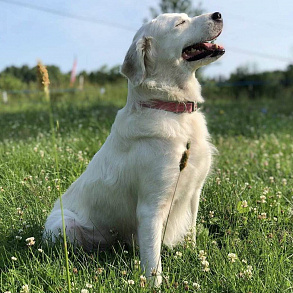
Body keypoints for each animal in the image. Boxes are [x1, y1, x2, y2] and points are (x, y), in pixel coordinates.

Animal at [44, 12, 224, 286]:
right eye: (180, 23)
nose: (218, 14)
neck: (170, 107)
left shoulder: (194, 192)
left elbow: (191, 232)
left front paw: (195, 256)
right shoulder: (151, 206)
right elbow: (152, 261)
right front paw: (155, 286)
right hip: (64, 226)